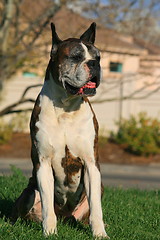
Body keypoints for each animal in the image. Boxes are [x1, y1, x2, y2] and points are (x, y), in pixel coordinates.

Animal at [11, 22, 109, 238]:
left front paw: (100, 233)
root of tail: (65, 216)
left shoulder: (91, 164)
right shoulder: (43, 163)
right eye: (76, 57)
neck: (66, 107)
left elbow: (96, 208)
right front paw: (49, 231)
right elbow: (47, 205)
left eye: (98, 57)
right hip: (29, 192)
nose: (94, 64)